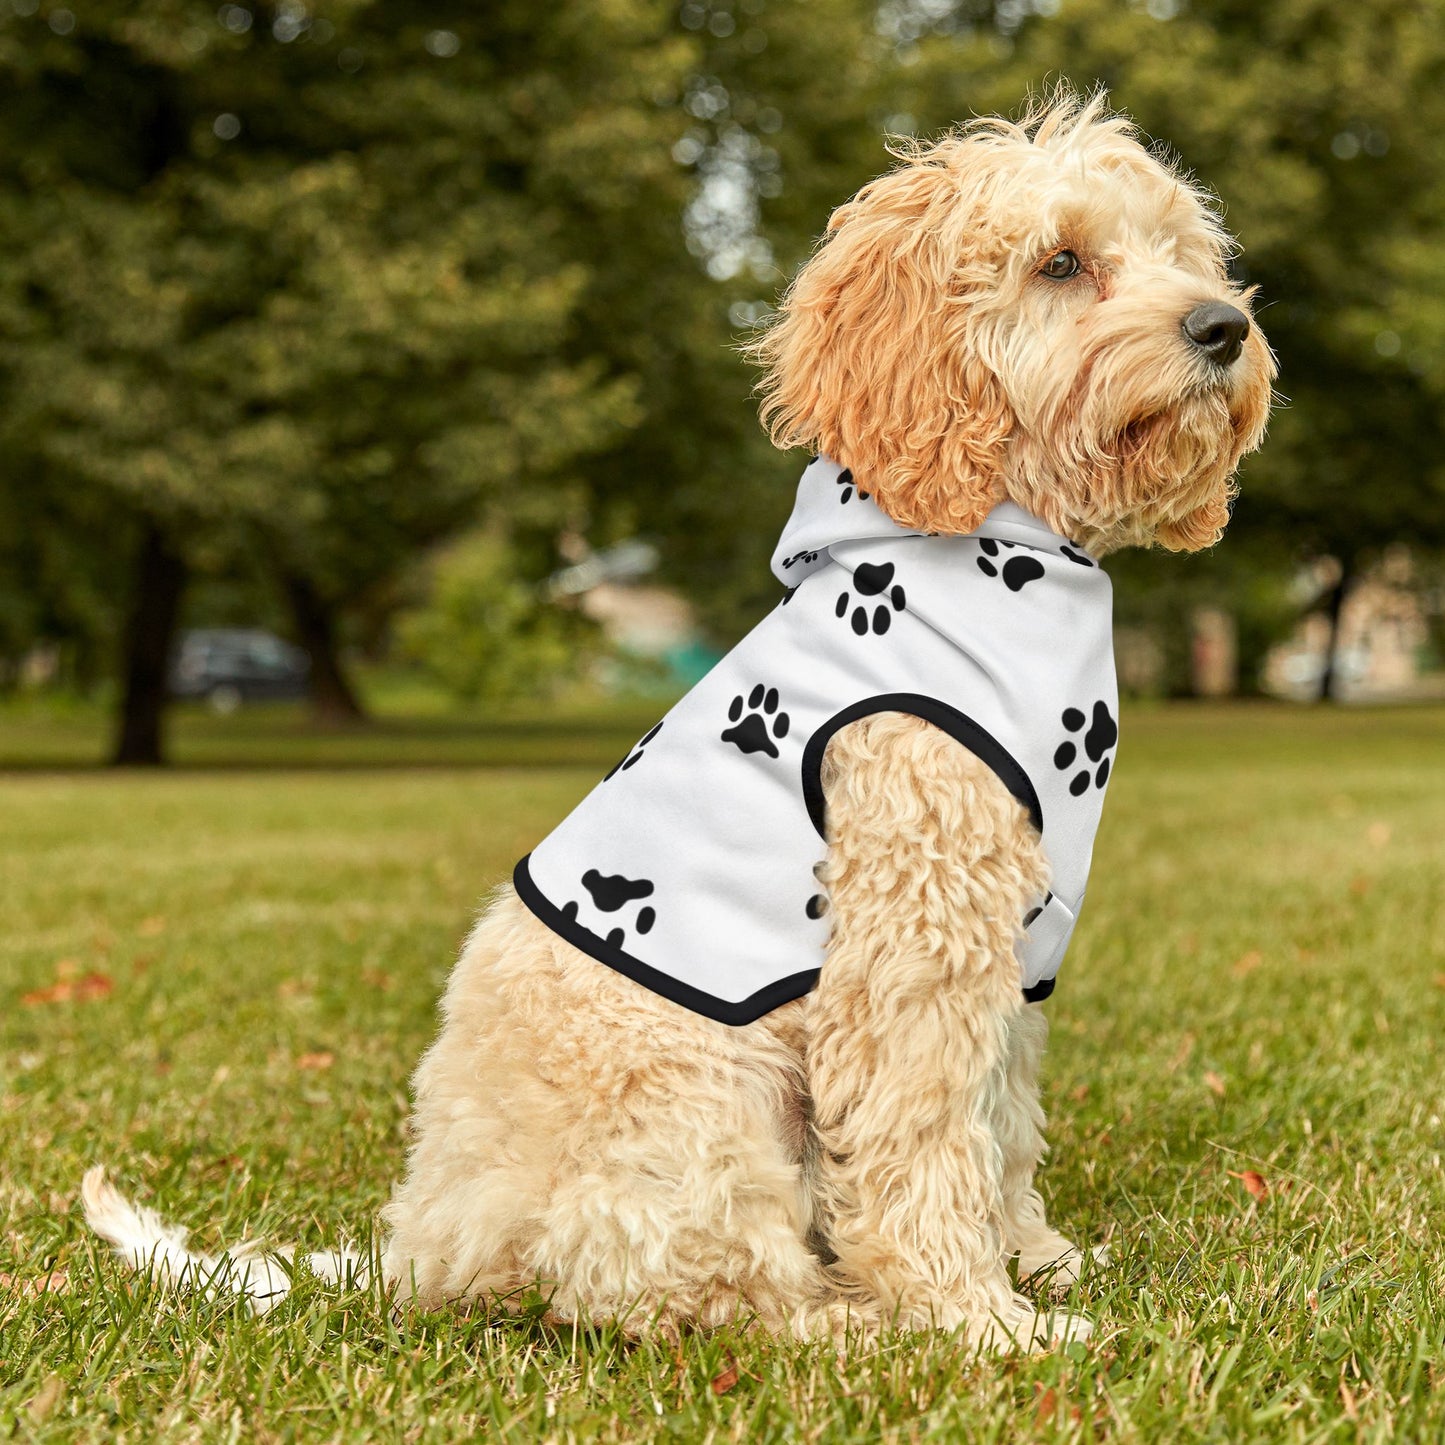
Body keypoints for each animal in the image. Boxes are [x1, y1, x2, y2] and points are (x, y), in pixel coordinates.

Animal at [84, 90, 1271, 1352]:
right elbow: (923, 1137)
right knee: (700, 1291)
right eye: (1059, 261)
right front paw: (976, 1319)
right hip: (701, 1101)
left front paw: (1035, 1260)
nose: (1221, 327)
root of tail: (424, 1248)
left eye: (1180, 252)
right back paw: (852, 1323)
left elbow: (999, 1122)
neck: (990, 542)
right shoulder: (912, 939)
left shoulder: (1011, 949)